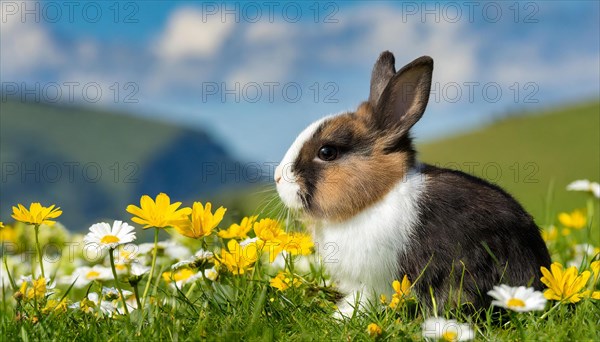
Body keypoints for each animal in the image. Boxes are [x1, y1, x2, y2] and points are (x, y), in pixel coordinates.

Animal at [274, 51, 552, 318]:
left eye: (327, 152)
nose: (277, 177)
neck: (375, 198)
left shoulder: (374, 282)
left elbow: (364, 300)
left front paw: (341, 317)